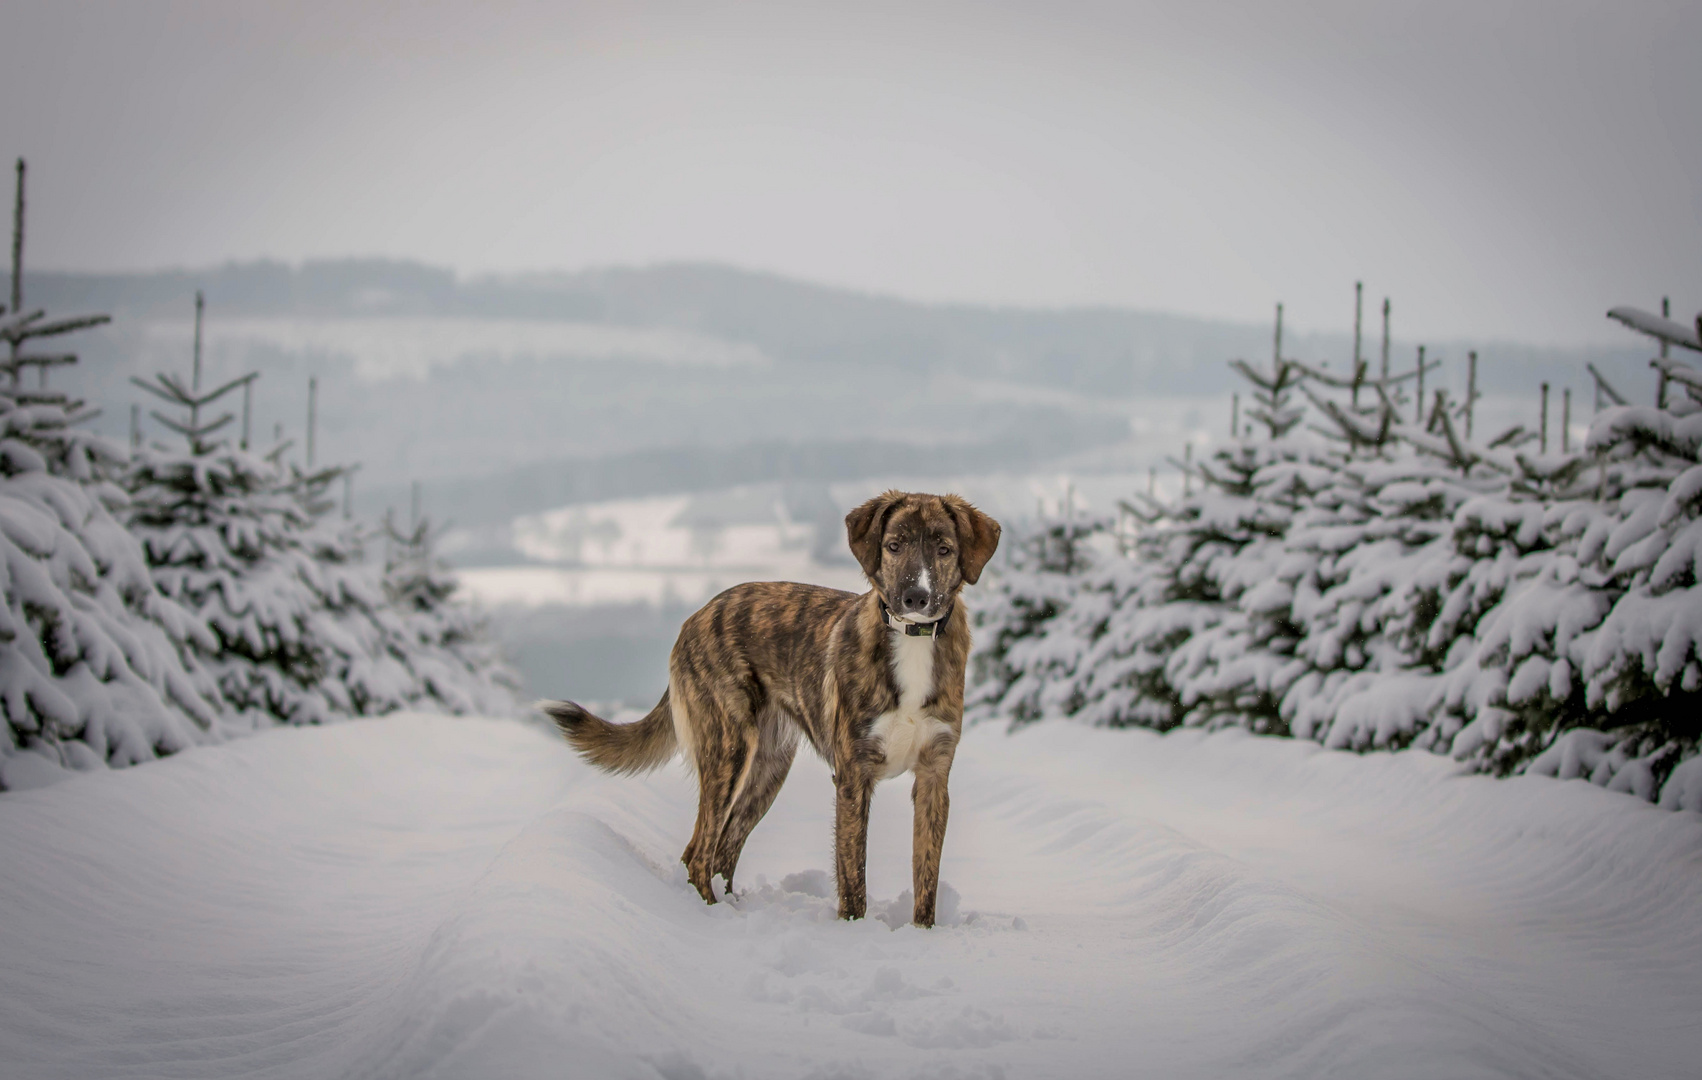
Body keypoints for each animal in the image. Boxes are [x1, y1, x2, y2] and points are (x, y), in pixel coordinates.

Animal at [544, 493, 993, 932]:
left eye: (944, 549)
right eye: (894, 546)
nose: (916, 597)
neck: (911, 640)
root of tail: (698, 615)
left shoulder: (934, 777)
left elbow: (926, 877)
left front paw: (923, 935)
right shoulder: (853, 776)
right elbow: (854, 876)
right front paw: (853, 932)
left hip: (768, 769)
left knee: (722, 850)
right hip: (729, 750)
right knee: (700, 852)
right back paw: (712, 916)